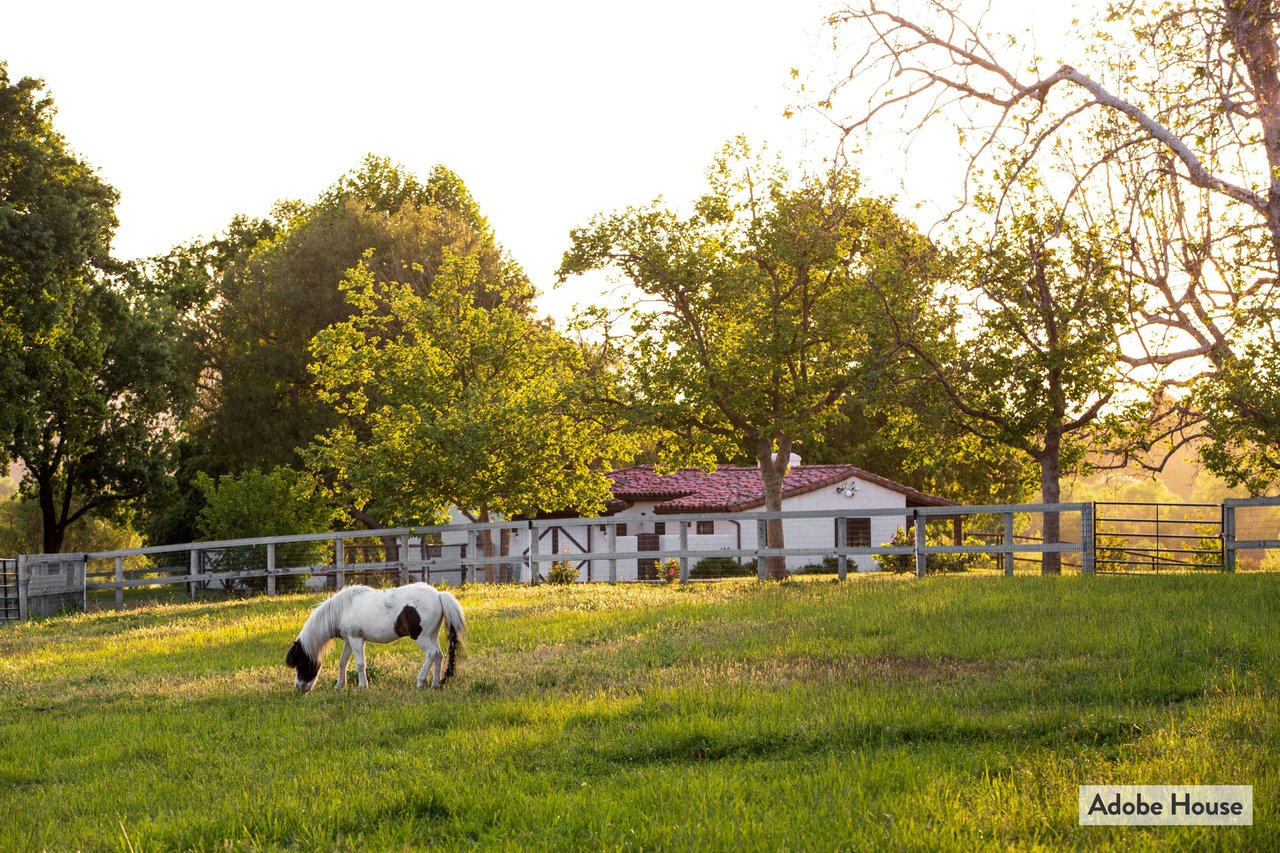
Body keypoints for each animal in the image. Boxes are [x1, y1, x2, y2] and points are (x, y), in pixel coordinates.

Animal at [284, 578, 465, 691]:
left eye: (301, 662)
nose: (300, 688)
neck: (341, 610)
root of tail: (439, 595)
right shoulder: (349, 641)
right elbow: (343, 662)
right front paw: (340, 685)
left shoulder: (356, 639)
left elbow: (359, 664)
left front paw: (362, 686)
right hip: (432, 635)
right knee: (439, 655)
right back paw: (435, 684)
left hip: (421, 637)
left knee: (431, 654)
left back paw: (420, 682)